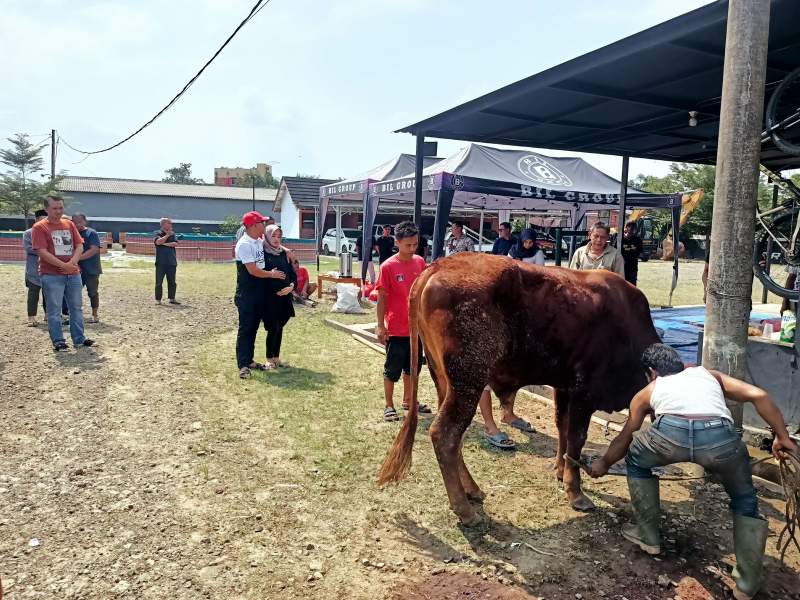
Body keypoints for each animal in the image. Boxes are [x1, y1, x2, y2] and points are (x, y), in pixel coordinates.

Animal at [378, 253, 660, 524]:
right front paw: (576, 492)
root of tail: (438, 265)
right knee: (445, 434)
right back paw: (465, 510)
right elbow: (576, 439)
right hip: (469, 380)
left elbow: (562, 427)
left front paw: (560, 471)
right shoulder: (584, 391)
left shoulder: (564, 387)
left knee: (453, 435)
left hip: (445, 379)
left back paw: (472, 490)